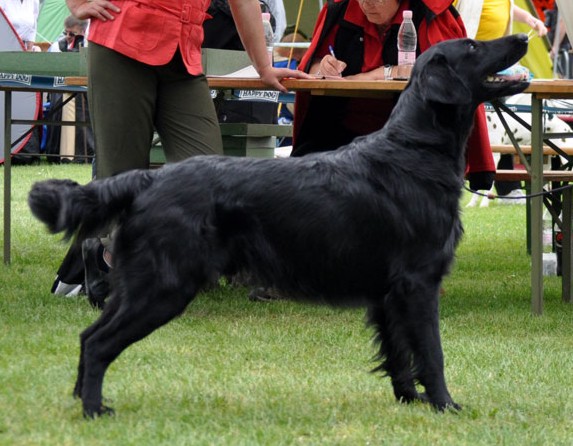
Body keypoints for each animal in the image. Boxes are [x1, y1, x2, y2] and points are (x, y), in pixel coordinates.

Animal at [26, 33, 528, 416]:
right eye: (472, 45)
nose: (524, 37)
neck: (413, 149)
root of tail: (151, 176)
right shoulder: (418, 282)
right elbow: (432, 353)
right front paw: (446, 406)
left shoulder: (388, 292)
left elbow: (400, 355)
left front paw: (409, 401)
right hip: (163, 286)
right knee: (98, 343)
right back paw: (94, 409)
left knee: (88, 336)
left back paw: (80, 399)